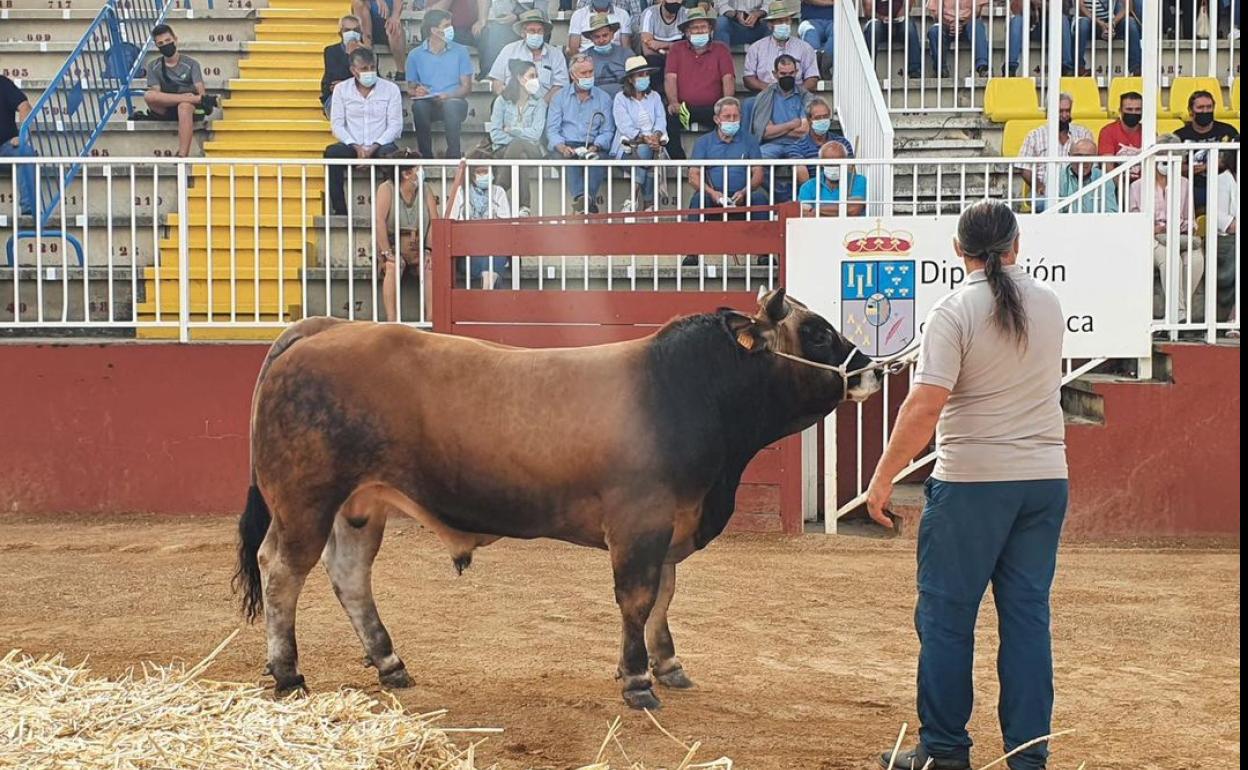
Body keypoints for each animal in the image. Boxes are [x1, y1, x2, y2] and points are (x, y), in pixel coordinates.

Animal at [232, 289, 878, 708]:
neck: (688, 390)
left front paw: (666, 665)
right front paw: (637, 681)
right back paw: (288, 674)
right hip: (305, 501)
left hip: (359, 506)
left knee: (349, 575)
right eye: (818, 332)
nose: (872, 370)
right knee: (281, 570)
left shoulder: (669, 527)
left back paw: (391, 664)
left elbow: (664, 598)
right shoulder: (640, 524)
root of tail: (325, 327)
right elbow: (637, 600)